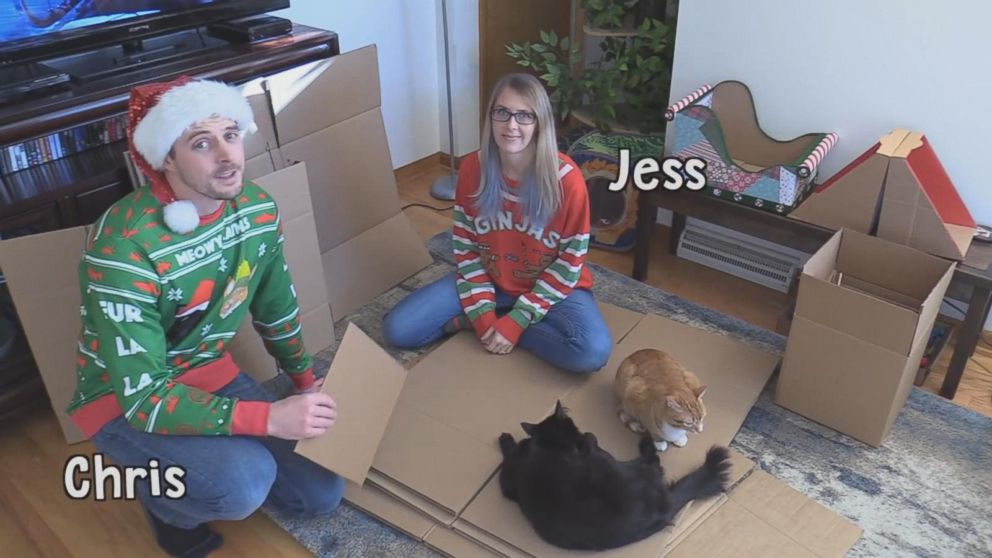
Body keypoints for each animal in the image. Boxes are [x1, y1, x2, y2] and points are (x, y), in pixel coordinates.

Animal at [500, 402, 732, 552]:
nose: (580, 437)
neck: (553, 445)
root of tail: (662, 508)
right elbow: (590, 438)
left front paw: (507, 439)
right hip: (625, 465)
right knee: (655, 462)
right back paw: (647, 442)